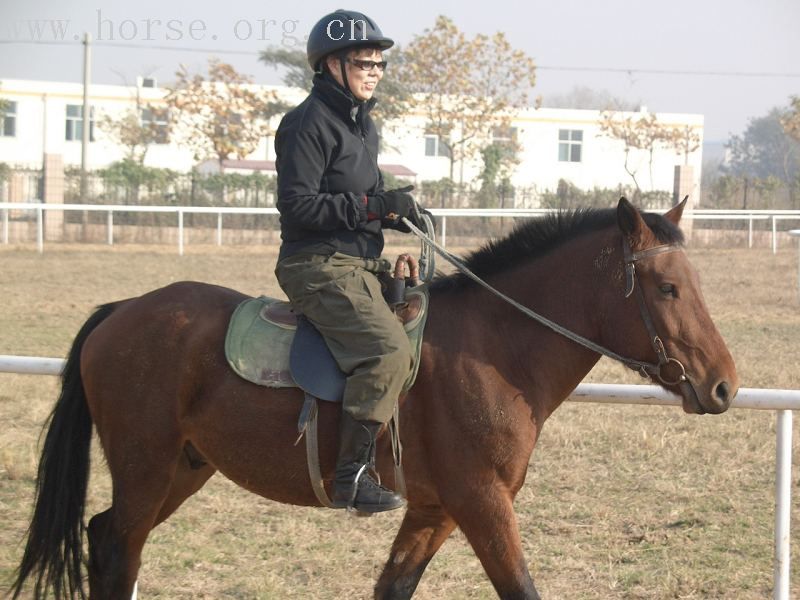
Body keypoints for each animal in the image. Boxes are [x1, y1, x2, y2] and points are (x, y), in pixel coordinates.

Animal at [12, 198, 736, 600]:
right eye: (668, 288)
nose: (724, 384)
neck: (496, 346)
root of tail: (122, 310)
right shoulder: (482, 503)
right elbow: (520, 589)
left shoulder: (434, 511)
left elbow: (395, 587)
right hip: (145, 468)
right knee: (115, 547)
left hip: (184, 470)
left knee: (111, 541)